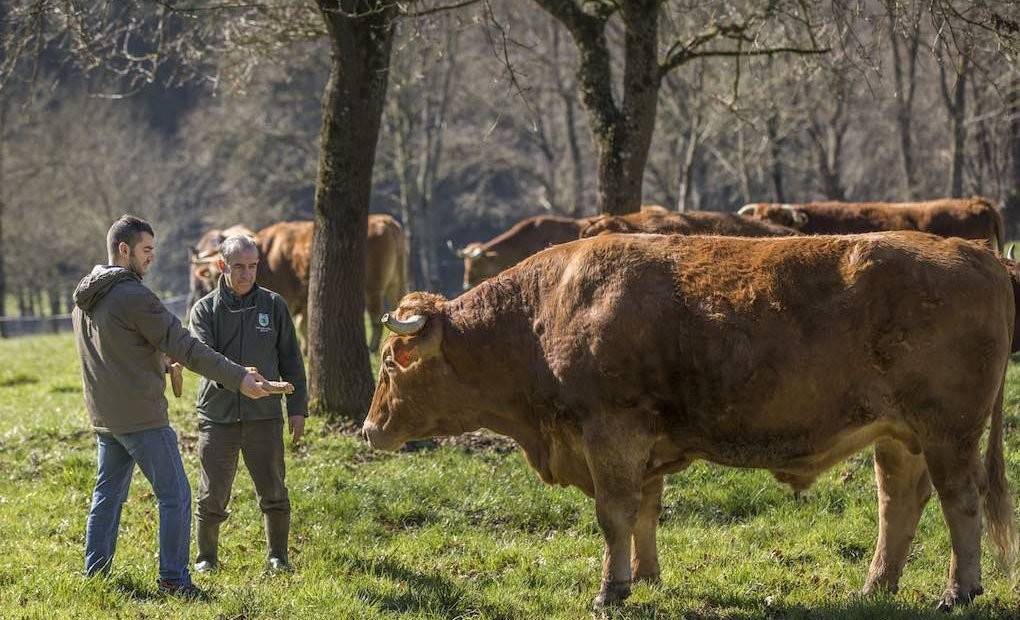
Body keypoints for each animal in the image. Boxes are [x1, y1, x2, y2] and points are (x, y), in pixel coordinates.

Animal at [253, 214, 405, 350]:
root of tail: (384, 219)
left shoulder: (287, 297)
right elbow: (303, 325)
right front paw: (306, 349)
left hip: (373, 289)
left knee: (376, 318)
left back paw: (372, 348)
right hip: (395, 285)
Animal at [359, 231, 1011, 611]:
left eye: (389, 361)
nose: (368, 429)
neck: (545, 313)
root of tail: (976, 251)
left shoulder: (610, 432)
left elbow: (614, 515)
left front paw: (610, 590)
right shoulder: (641, 446)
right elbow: (645, 511)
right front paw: (645, 577)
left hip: (949, 433)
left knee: (961, 503)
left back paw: (959, 591)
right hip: (899, 437)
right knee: (897, 504)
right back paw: (875, 587)